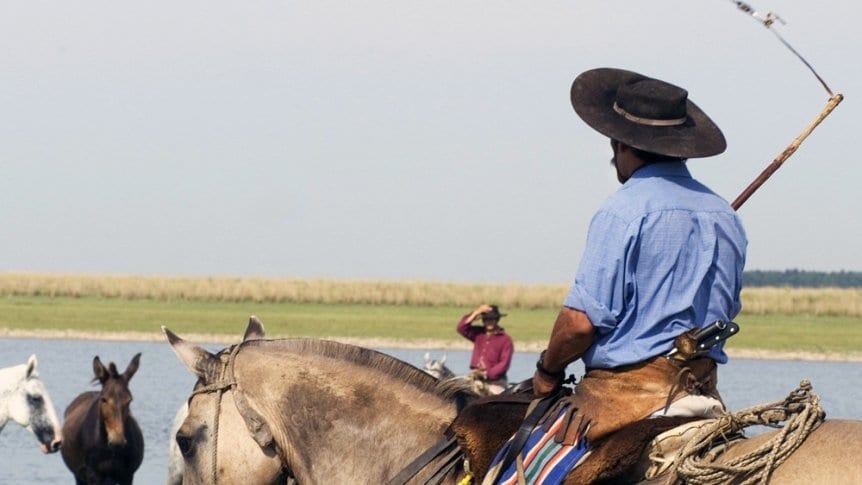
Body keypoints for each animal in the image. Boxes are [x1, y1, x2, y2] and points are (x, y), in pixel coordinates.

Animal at [61, 352, 145, 484]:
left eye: (129, 400)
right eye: (104, 399)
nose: (117, 441)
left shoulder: (128, 475)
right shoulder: (93, 476)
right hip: (78, 476)